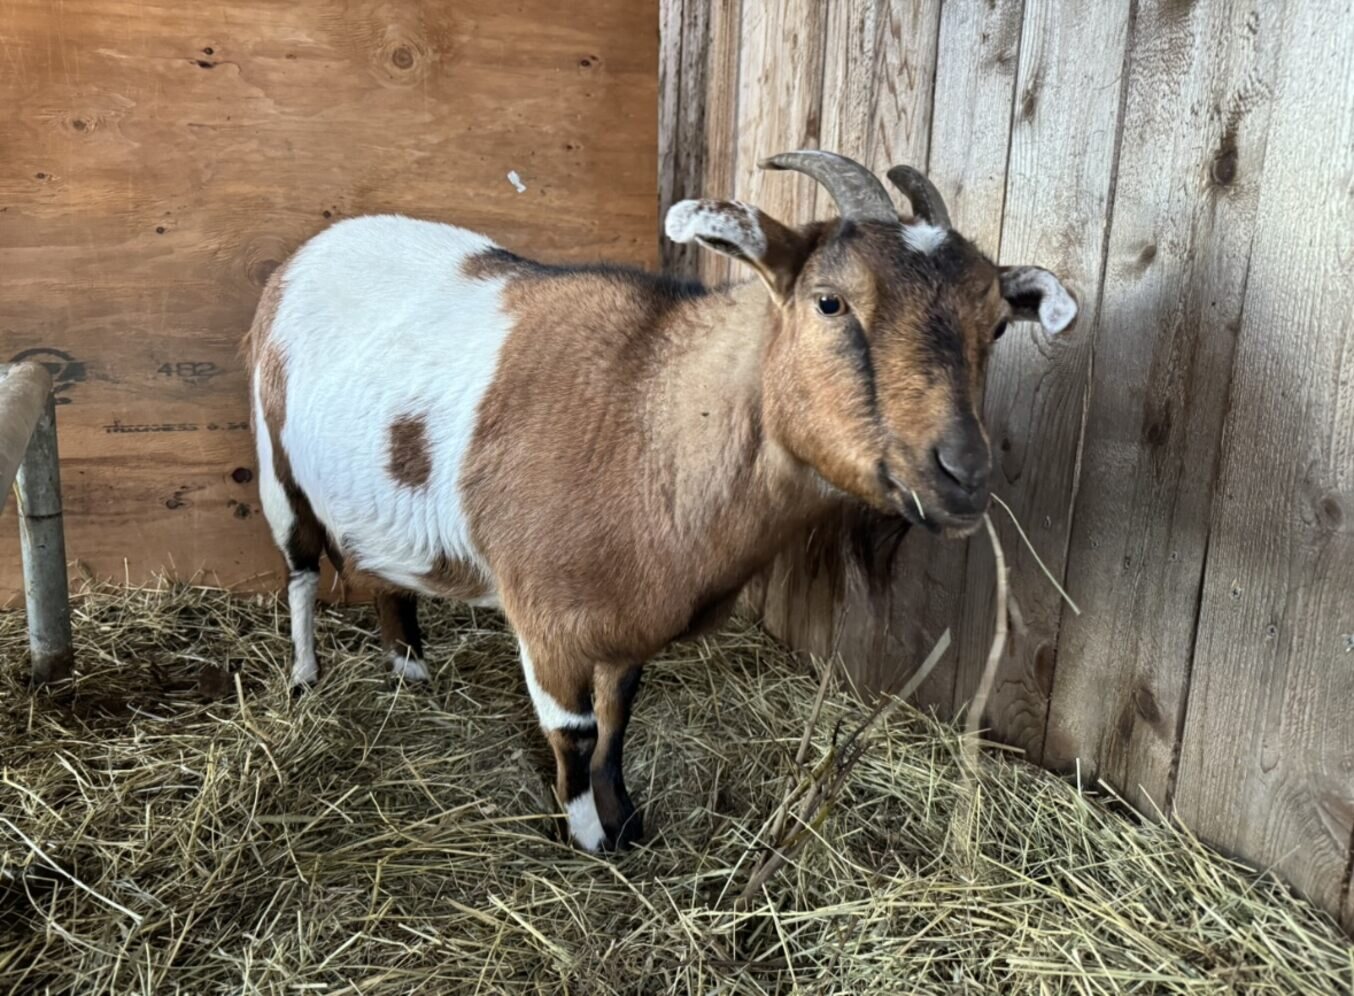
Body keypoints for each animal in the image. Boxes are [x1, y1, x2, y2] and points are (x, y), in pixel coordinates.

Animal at [244, 150, 1076, 852]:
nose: (963, 474)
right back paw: (305, 678)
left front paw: (628, 818)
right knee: (302, 572)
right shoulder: (548, 618)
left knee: (384, 574)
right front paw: (590, 837)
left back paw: (410, 667)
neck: (651, 410)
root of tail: (315, 248)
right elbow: (575, 732)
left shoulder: (630, 618)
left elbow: (619, 719)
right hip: (275, 462)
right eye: (830, 302)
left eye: (996, 325)